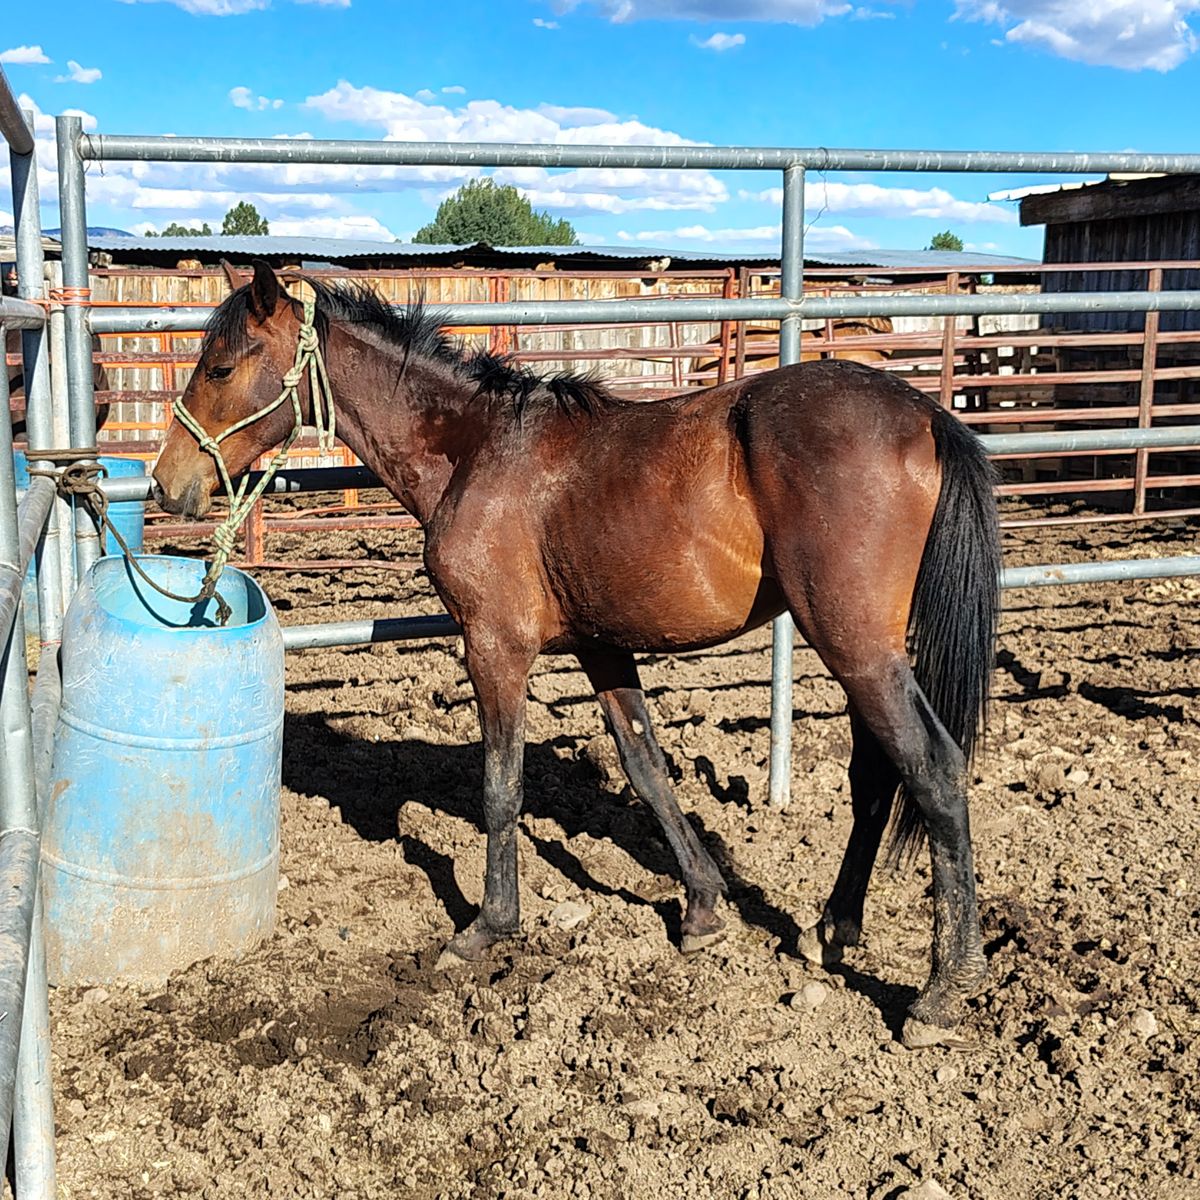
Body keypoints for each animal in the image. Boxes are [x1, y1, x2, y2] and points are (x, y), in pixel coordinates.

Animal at [151, 260, 1001, 1048]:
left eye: (220, 367)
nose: (167, 483)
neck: (475, 452)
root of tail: (926, 414)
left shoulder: (494, 647)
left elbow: (501, 786)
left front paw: (487, 927)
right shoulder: (602, 648)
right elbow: (646, 767)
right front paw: (702, 908)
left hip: (855, 644)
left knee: (933, 769)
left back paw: (940, 992)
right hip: (860, 650)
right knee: (875, 776)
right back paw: (832, 931)